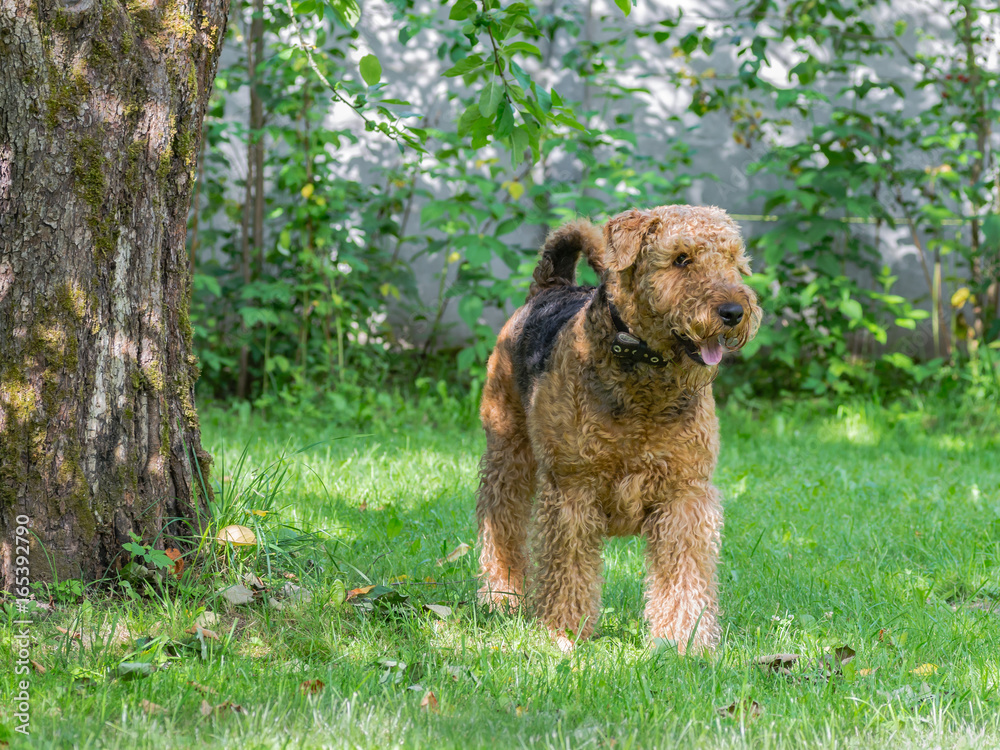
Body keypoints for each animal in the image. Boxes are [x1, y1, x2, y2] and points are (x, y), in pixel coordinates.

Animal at [474, 204, 756, 652]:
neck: (646, 381)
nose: (733, 312)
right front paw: (563, 632)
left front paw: (684, 643)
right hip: (508, 450)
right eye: (681, 259)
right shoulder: (573, 490)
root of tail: (551, 287)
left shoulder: (685, 495)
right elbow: (568, 572)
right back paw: (502, 596)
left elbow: (684, 579)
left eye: (732, 259)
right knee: (500, 524)